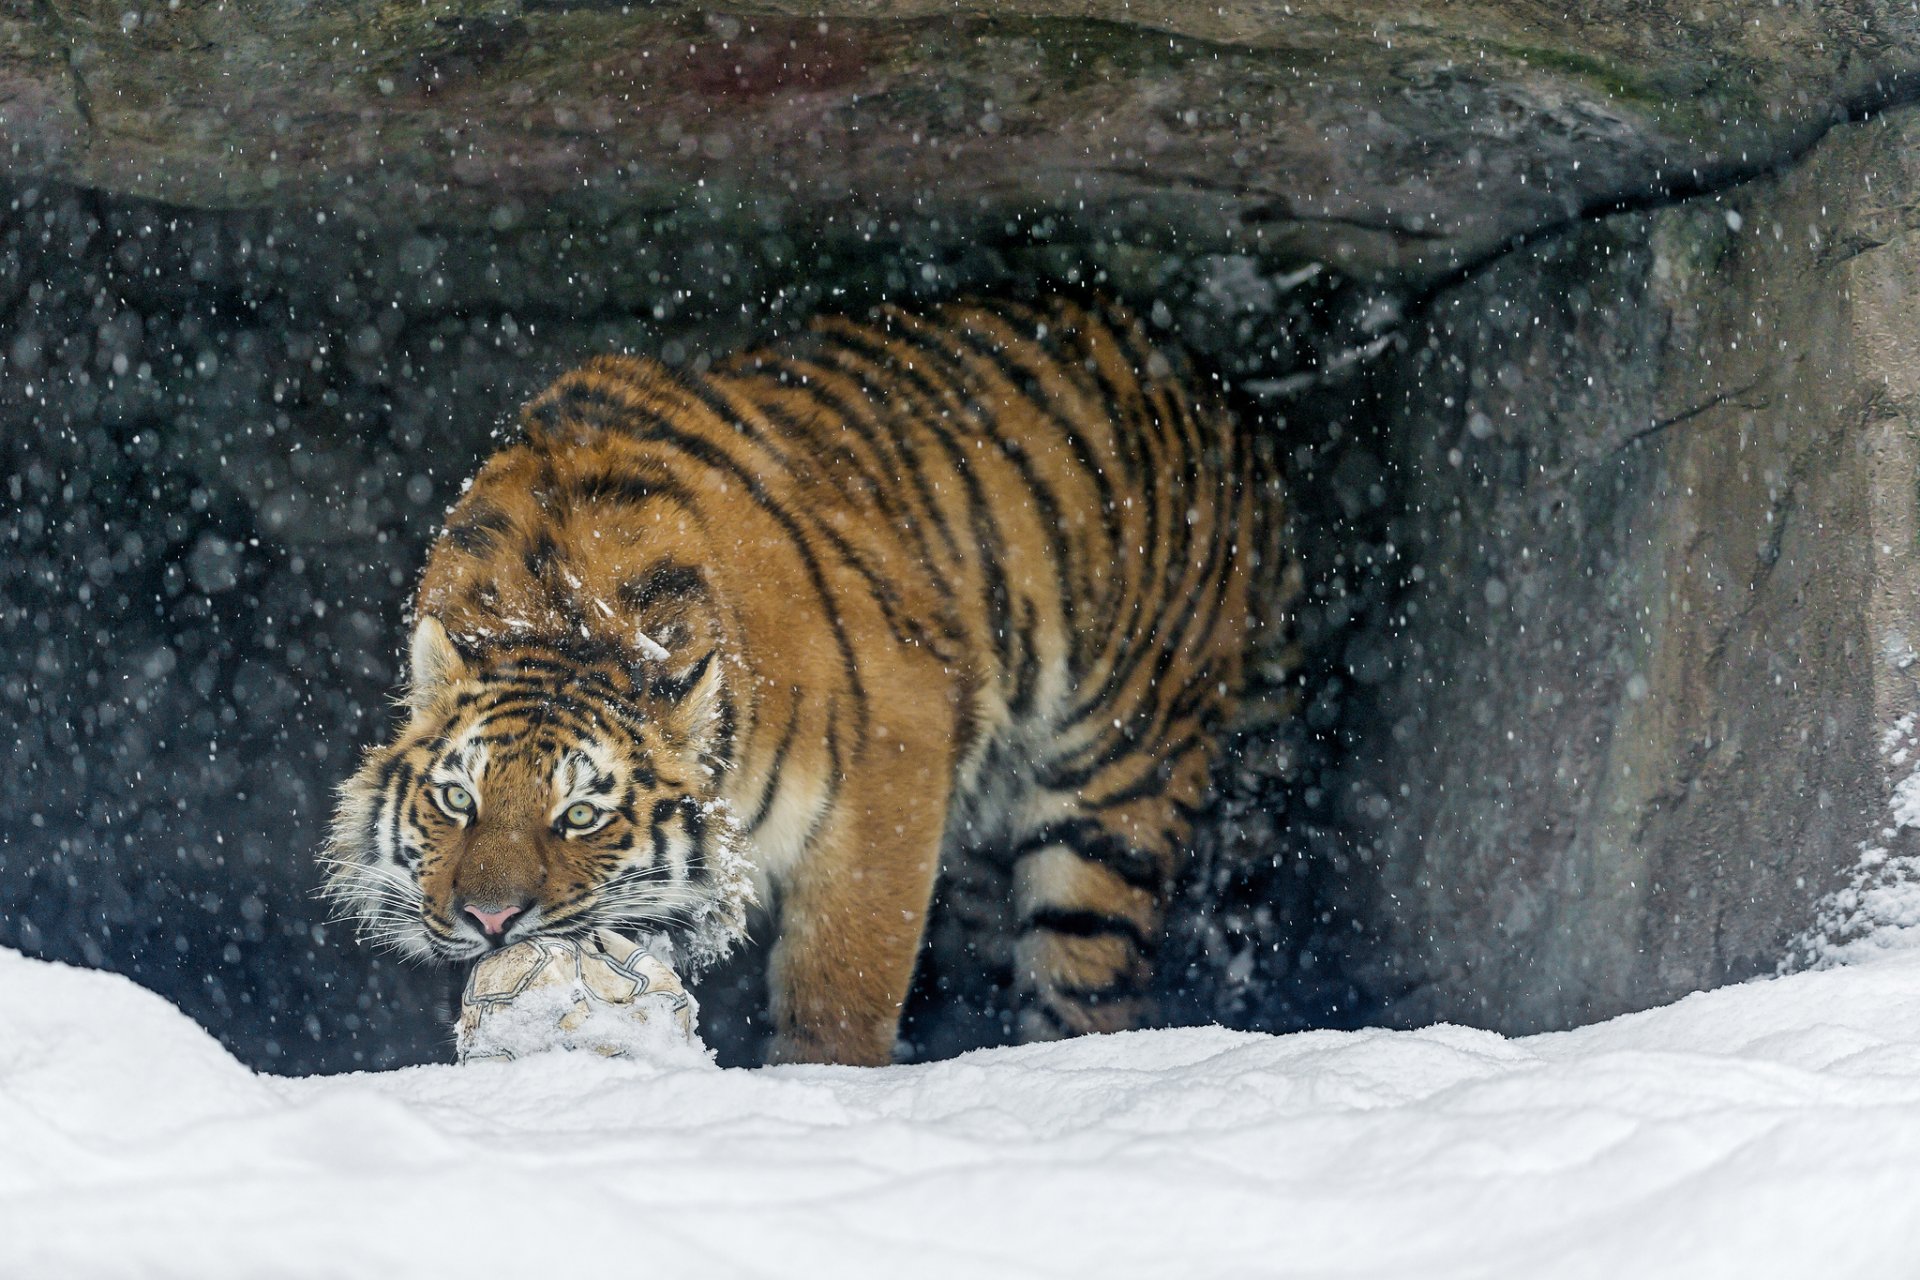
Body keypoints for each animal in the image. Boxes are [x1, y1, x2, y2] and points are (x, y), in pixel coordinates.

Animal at [323, 292, 1295, 1066]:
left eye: (583, 816)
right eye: (457, 801)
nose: (491, 921)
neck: (565, 617)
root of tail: (1211, 386)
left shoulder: (889, 775)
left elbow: (843, 983)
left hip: (1119, 781)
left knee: (1086, 982)